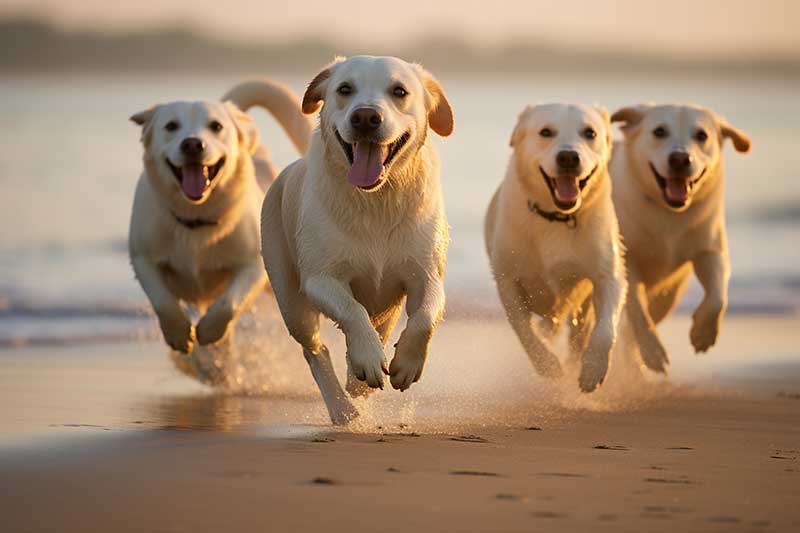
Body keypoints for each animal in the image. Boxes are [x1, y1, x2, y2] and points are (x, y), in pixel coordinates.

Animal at [484, 102, 628, 390]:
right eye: (546, 132)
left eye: (590, 133)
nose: (569, 157)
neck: (557, 217)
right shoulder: (507, 279)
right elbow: (523, 329)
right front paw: (548, 365)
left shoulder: (609, 275)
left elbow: (606, 328)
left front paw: (593, 369)